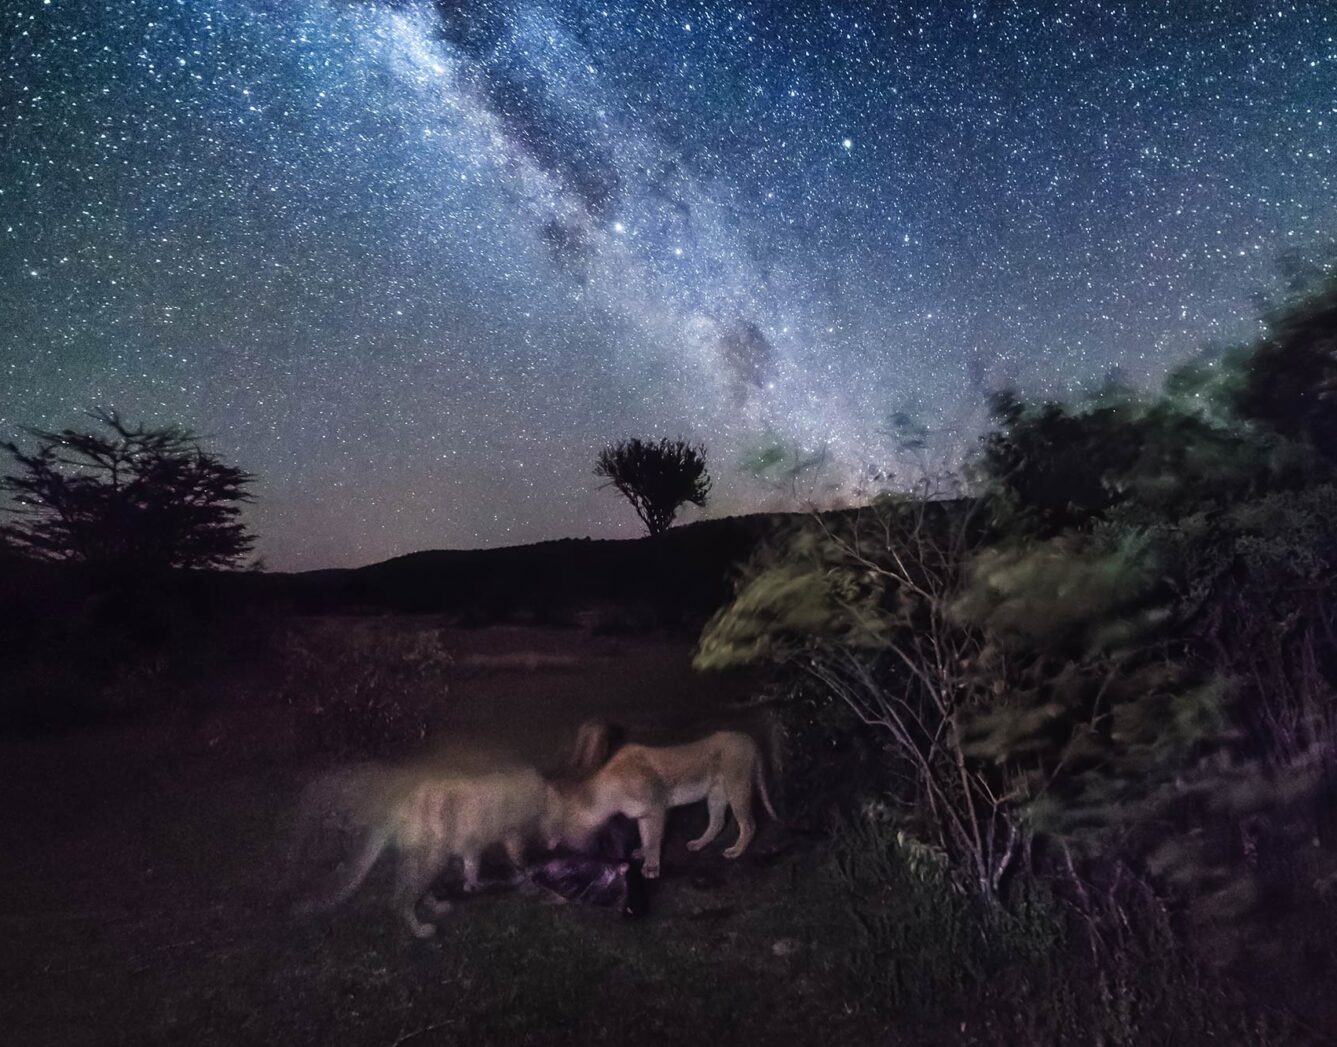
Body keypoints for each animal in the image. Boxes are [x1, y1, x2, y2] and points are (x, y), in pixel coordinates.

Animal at [550, 727, 780, 882]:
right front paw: (642, 853)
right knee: (717, 822)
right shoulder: (643, 814)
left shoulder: (656, 809)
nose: (557, 847)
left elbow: (653, 839)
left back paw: (736, 851)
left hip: (737, 786)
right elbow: (645, 836)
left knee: (749, 823)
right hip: (716, 794)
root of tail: (748, 738)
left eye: (562, 825)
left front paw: (651, 867)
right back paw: (698, 844)